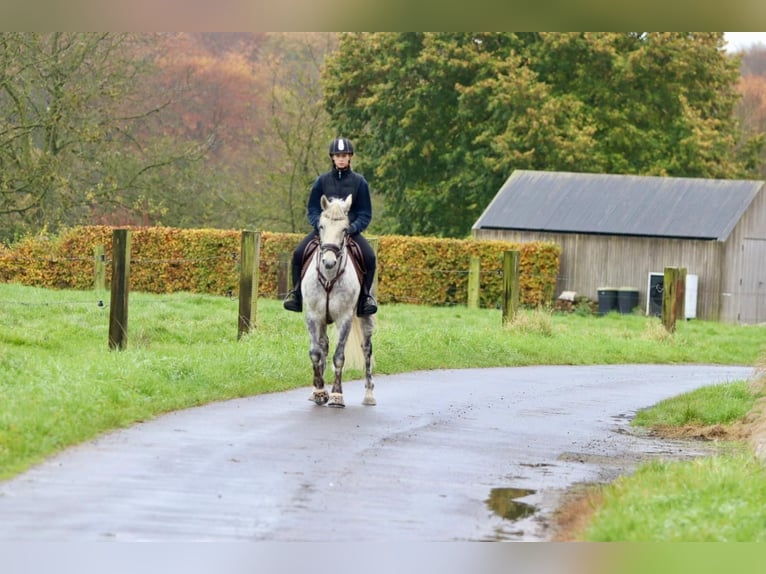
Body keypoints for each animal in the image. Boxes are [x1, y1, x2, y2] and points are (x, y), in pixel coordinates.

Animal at [306, 196, 378, 408]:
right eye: (321, 226)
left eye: (345, 229)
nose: (329, 262)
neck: (329, 277)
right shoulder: (313, 316)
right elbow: (316, 353)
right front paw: (319, 392)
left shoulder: (344, 318)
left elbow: (339, 357)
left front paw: (337, 396)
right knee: (323, 346)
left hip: (364, 318)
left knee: (366, 349)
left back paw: (369, 395)